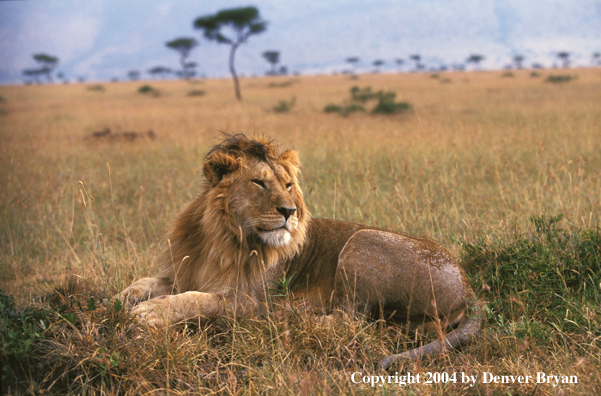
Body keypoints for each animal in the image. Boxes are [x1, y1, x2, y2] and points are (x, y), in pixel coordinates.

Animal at [119, 134, 480, 372]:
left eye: (288, 185)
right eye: (259, 183)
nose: (289, 211)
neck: (218, 239)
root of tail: (468, 287)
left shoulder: (247, 300)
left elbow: (196, 299)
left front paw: (150, 312)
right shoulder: (182, 272)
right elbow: (144, 283)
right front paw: (120, 300)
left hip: (362, 240)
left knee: (350, 321)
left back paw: (289, 318)